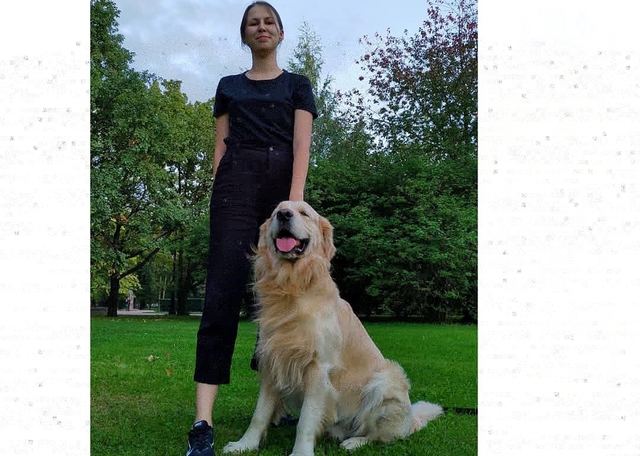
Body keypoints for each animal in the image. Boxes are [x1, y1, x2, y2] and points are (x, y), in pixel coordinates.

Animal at [223, 201, 442, 456]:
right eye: (277, 211)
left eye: (304, 213)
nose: (284, 215)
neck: (293, 286)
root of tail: (411, 421)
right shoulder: (272, 362)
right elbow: (259, 415)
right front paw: (244, 445)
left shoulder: (318, 368)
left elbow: (306, 420)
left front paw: (301, 453)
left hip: (386, 380)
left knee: (377, 435)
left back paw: (355, 442)